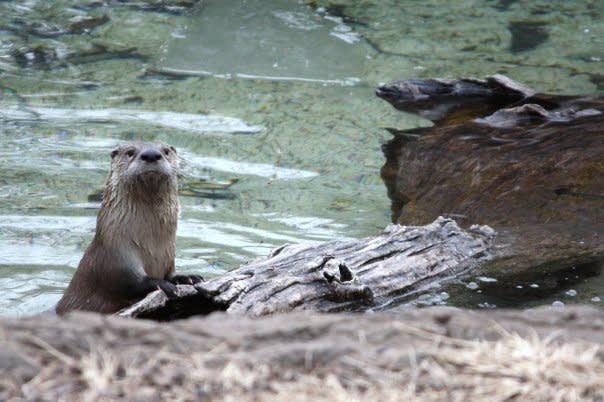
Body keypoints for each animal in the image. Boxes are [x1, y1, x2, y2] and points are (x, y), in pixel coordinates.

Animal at [54, 141, 201, 314]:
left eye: (166, 151)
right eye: (130, 152)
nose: (151, 155)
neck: (152, 247)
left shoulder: (168, 256)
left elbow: (170, 274)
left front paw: (188, 278)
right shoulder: (115, 257)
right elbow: (130, 283)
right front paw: (163, 284)